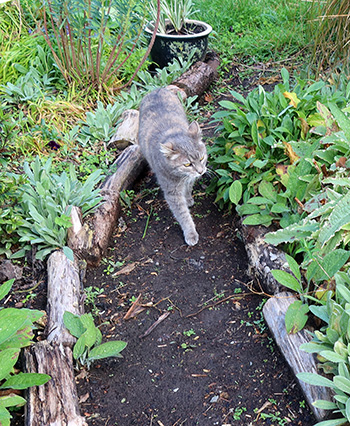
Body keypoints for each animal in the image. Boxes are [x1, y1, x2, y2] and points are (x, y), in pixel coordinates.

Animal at [138, 87, 206, 246]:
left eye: (201, 158)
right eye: (187, 164)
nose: (201, 171)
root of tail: (156, 89)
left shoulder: (189, 179)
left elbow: (188, 188)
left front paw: (188, 199)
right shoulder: (172, 193)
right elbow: (183, 215)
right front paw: (190, 233)